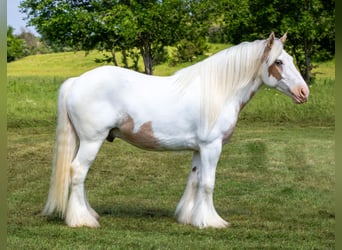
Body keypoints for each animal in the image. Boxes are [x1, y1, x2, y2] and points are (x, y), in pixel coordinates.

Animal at [42, 32, 310, 229]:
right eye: (278, 62)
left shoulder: (199, 148)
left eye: (291, 60)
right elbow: (208, 183)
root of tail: (77, 81)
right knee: (77, 172)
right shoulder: (212, 146)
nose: (303, 92)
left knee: (78, 174)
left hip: (83, 141)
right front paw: (212, 221)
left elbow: (194, 180)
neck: (219, 91)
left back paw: (89, 213)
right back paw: (82, 220)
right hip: (91, 140)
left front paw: (190, 217)